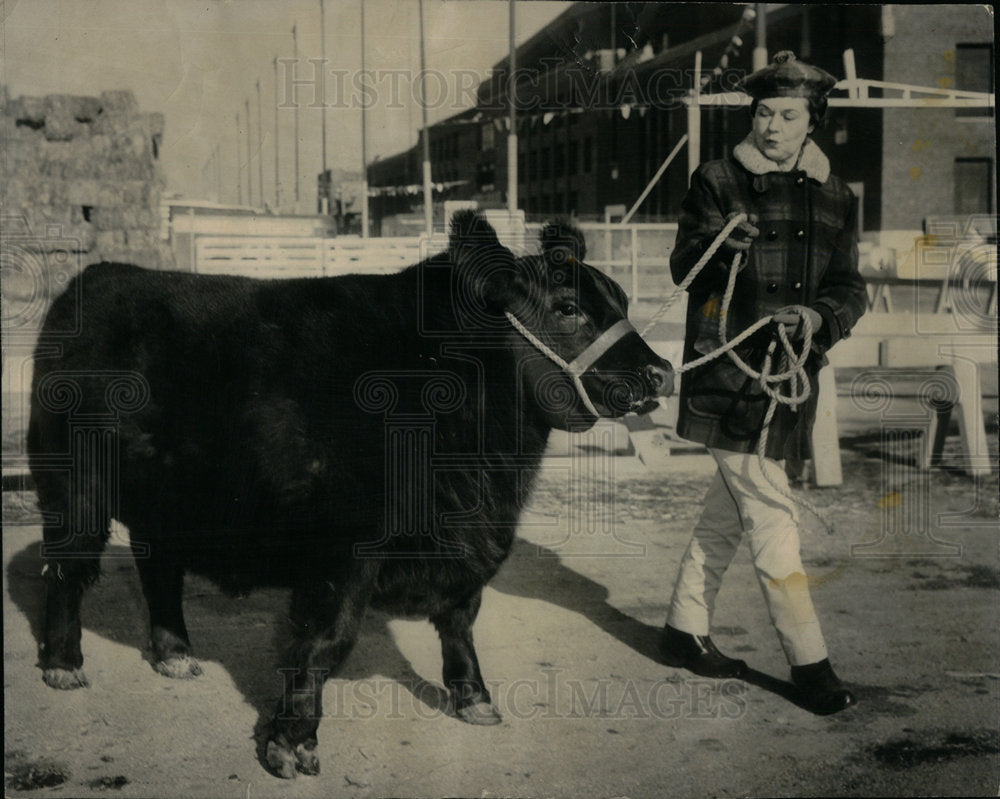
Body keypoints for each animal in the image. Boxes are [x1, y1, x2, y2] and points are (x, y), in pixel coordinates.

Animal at [29, 214, 672, 780]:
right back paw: (63, 665)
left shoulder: (473, 539)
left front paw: (475, 699)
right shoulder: (342, 549)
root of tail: (100, 275)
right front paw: (292, 744)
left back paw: (175, 654)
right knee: (68, 570)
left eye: (623, 300)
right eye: (567, 308)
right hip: (73, 489)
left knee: (158, 568)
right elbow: (327, 642)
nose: (661, 372)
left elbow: (460, 621)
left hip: (166, 501)